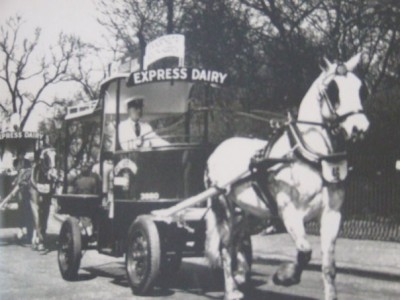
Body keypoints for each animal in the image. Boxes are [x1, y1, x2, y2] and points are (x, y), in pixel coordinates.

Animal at [205, 52, 370, 298]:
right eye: (333, 89)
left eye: (361, 88)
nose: (360, 128)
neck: (312, 157)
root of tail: (217, 150)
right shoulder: (289, 214)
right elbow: (305, 251)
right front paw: (285, 276)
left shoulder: (332, 215)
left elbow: (329, 267)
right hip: (224, 207)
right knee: (225, 247)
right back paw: (232, 290)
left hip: (248, 212)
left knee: (238, 242)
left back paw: (240, 276)